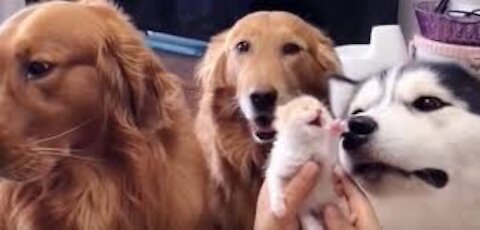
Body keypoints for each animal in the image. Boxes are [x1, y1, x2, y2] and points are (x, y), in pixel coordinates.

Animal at [266, 95, 344, 230]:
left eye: (322, 107)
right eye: (305, 108)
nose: (319, 110)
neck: (307, 146)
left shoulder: (327, 164)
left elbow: (332, 148)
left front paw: (335, 129)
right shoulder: (277, 169)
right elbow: (275, 186)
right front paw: (279, 208)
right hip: (305, 212)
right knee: (309, 221)